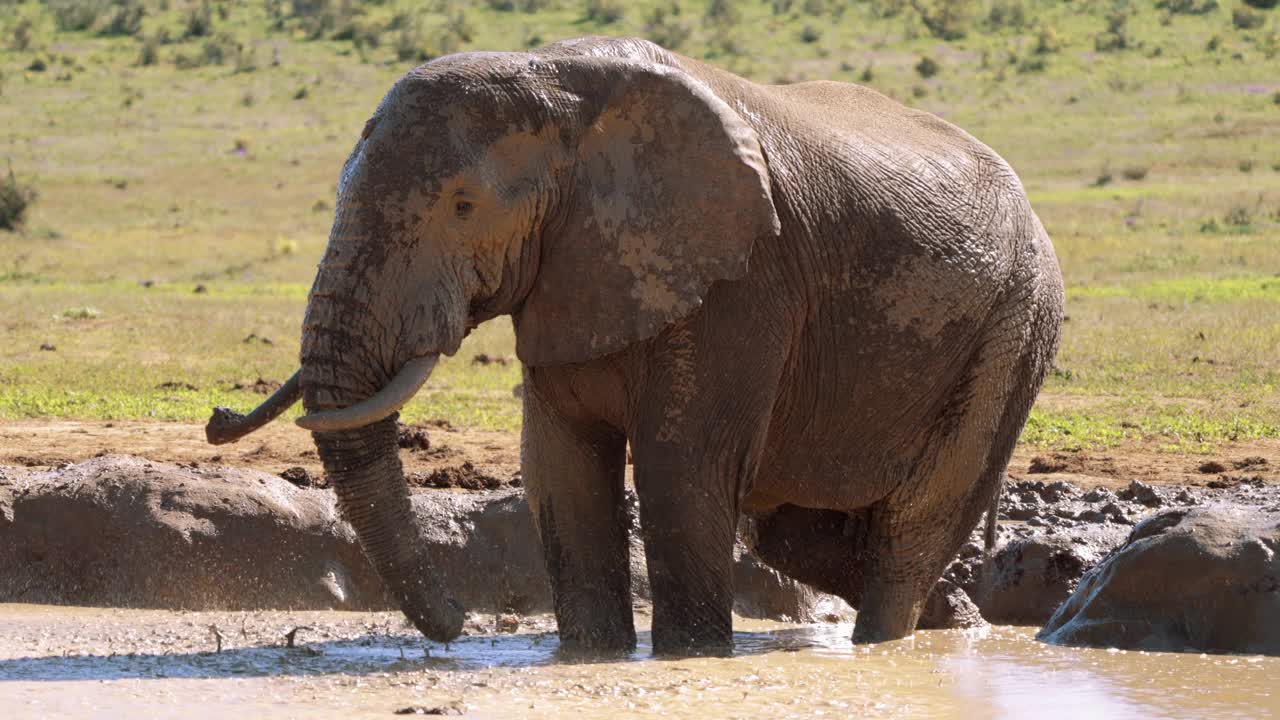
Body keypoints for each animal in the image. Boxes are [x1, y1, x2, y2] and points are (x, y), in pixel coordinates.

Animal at [209, 35, 1064, 655]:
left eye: (462, 206)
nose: (459, 626)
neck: (556, 82)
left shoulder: (741, 282)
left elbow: (678, 468)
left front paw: (692, 660)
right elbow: (560, 466)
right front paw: (589, 657)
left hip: (1013, 327)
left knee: (915, 519)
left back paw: (889, 644)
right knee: (797, 532)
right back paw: (957, 622)